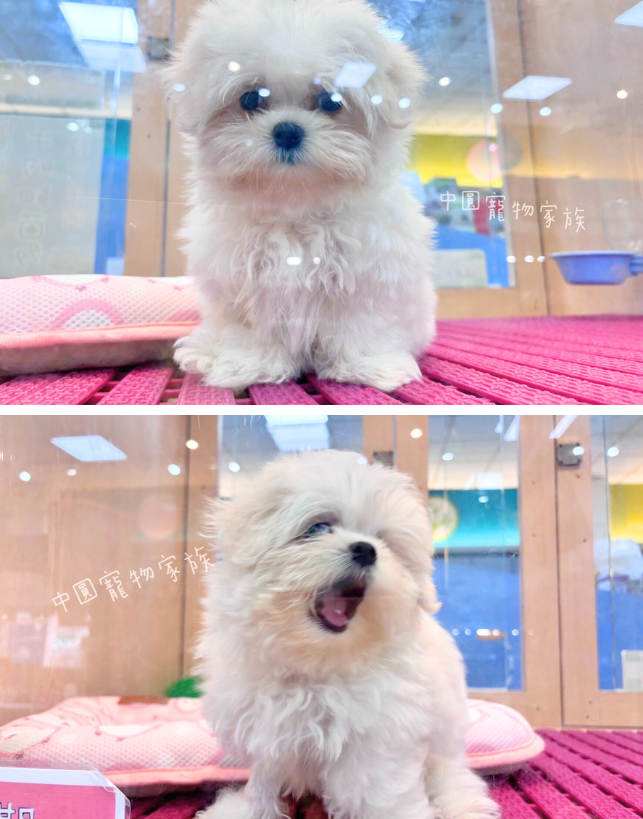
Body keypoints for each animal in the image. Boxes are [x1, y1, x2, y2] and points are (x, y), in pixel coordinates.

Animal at [166, 0, 436, 392]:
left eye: (330, 101)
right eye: (250, 98)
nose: (287, 131)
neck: (295, 209)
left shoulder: (371, 276)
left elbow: (363, 322)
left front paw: (368, 365)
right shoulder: (241, 285)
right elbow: (252, 330)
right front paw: (247, 364)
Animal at [196, 451, 499, 819]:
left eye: (385, 542)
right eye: (318, 528)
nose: (367, 549)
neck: (317, 661)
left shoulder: (380, 731)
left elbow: (377, 791)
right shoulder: (266, 732)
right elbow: (263, 784)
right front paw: (250, 810)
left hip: (447, 741)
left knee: (453, 777)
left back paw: (459, 804)